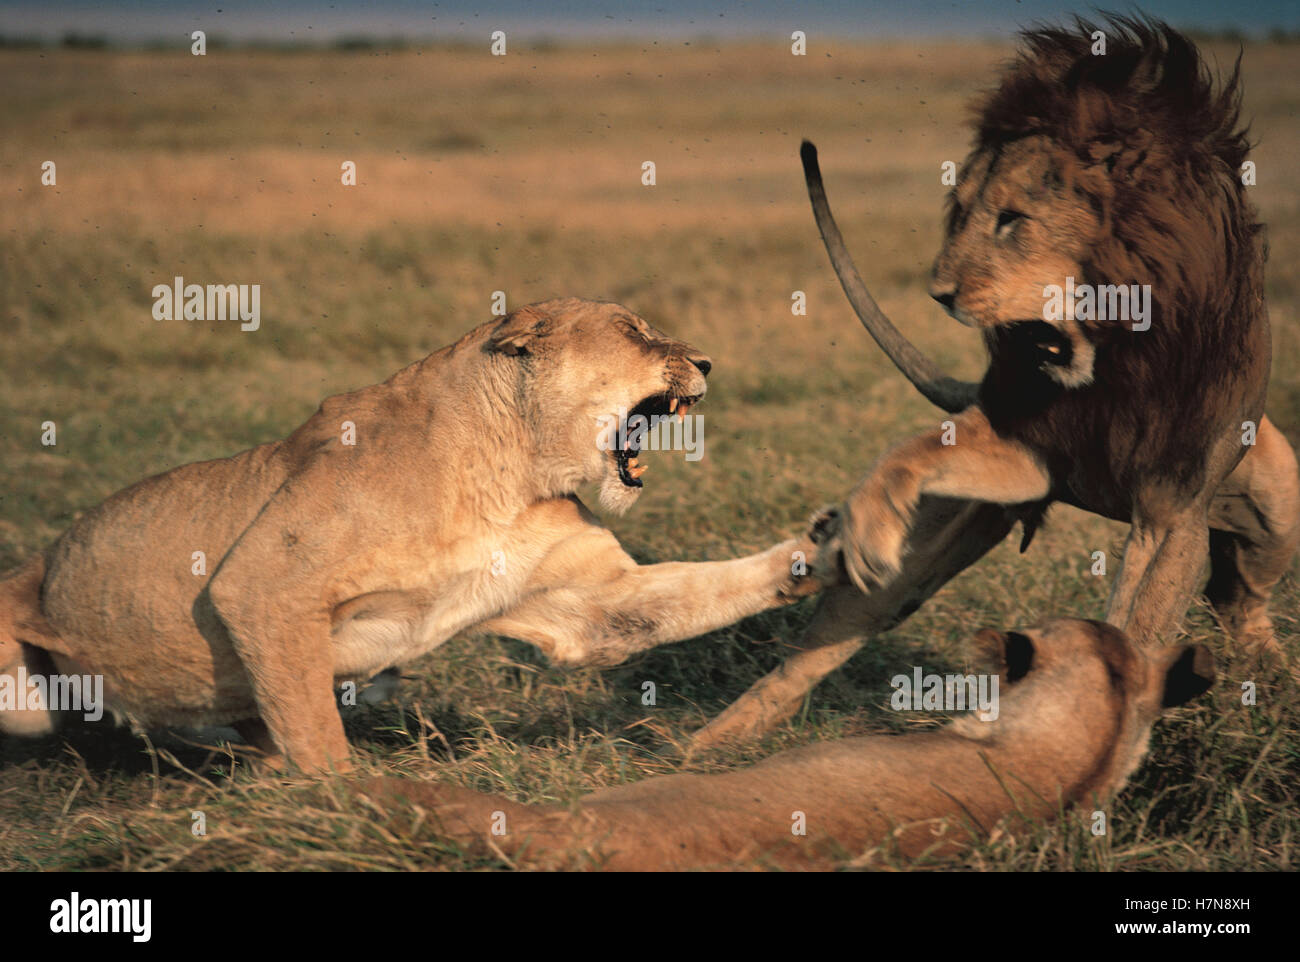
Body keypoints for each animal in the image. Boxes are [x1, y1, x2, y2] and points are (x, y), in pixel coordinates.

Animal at [0, 297, 823, 772]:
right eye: (633, 333)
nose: (708, 362)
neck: (507, 469)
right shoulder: (262, 586)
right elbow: (318, 738)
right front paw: (353, 811)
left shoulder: (584, 604)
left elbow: (693, 592)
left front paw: (818, 551)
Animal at [692, 15, 1300, 750]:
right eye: (960, 210)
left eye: (1012, 219)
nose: (939, 291)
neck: (1117, 358)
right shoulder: (1031, 449)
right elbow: (909, 451)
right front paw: (866, 522)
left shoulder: (1172, 509)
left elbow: (1136, 624)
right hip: (933, 546)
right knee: (815, 648)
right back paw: (700, 746)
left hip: (1277, 504)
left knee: (1240, 597)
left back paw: (1273, 680)